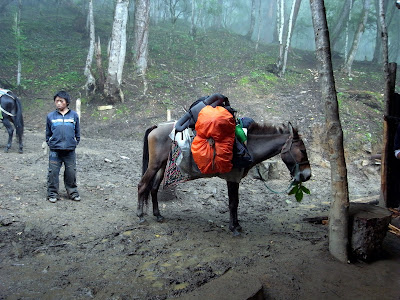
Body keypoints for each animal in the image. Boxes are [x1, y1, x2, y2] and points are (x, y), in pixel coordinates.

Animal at [138, 120, 312, 236]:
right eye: (303, 150)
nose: (307, 175)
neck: (247, 146)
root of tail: (157, 127)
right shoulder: (232, 178)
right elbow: (233, 203)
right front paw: (234, 228)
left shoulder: (236, 179)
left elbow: (236, 202)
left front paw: (237, 225)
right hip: (154, 165)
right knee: (142, 185)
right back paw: (140, 216)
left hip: (161, 165)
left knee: (154, 188)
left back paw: (158, 215)